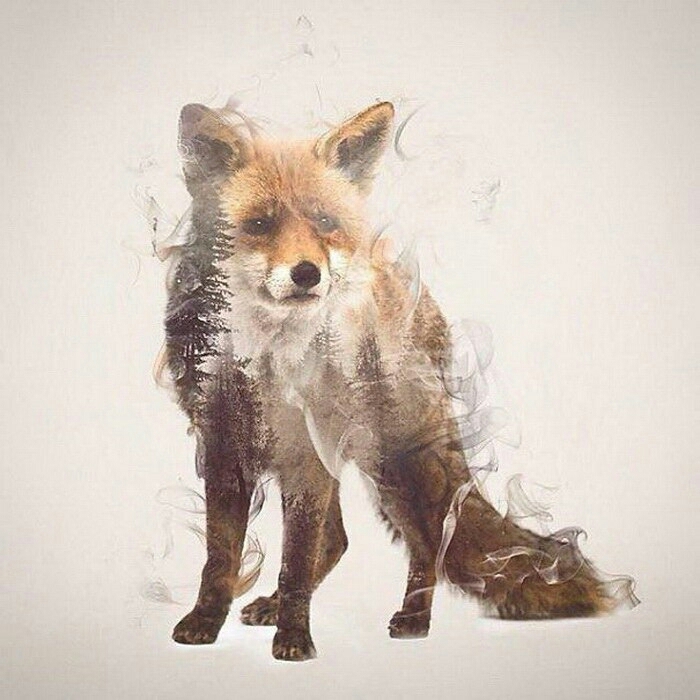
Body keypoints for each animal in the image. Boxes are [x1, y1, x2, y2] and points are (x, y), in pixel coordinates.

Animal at [160, 100, 635, 661]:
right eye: (259, 224)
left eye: (325, 223)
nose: (307, 273)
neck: (271, 358)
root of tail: (420, 297)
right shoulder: (224, 448)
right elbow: (221, 559)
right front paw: (206, 622)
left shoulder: (308, 456)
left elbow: (295, 562)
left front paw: (295, 637)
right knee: (339, 540)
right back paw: (275, 605)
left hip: (396, 466)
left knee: (428, 542)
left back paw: (413, 618)